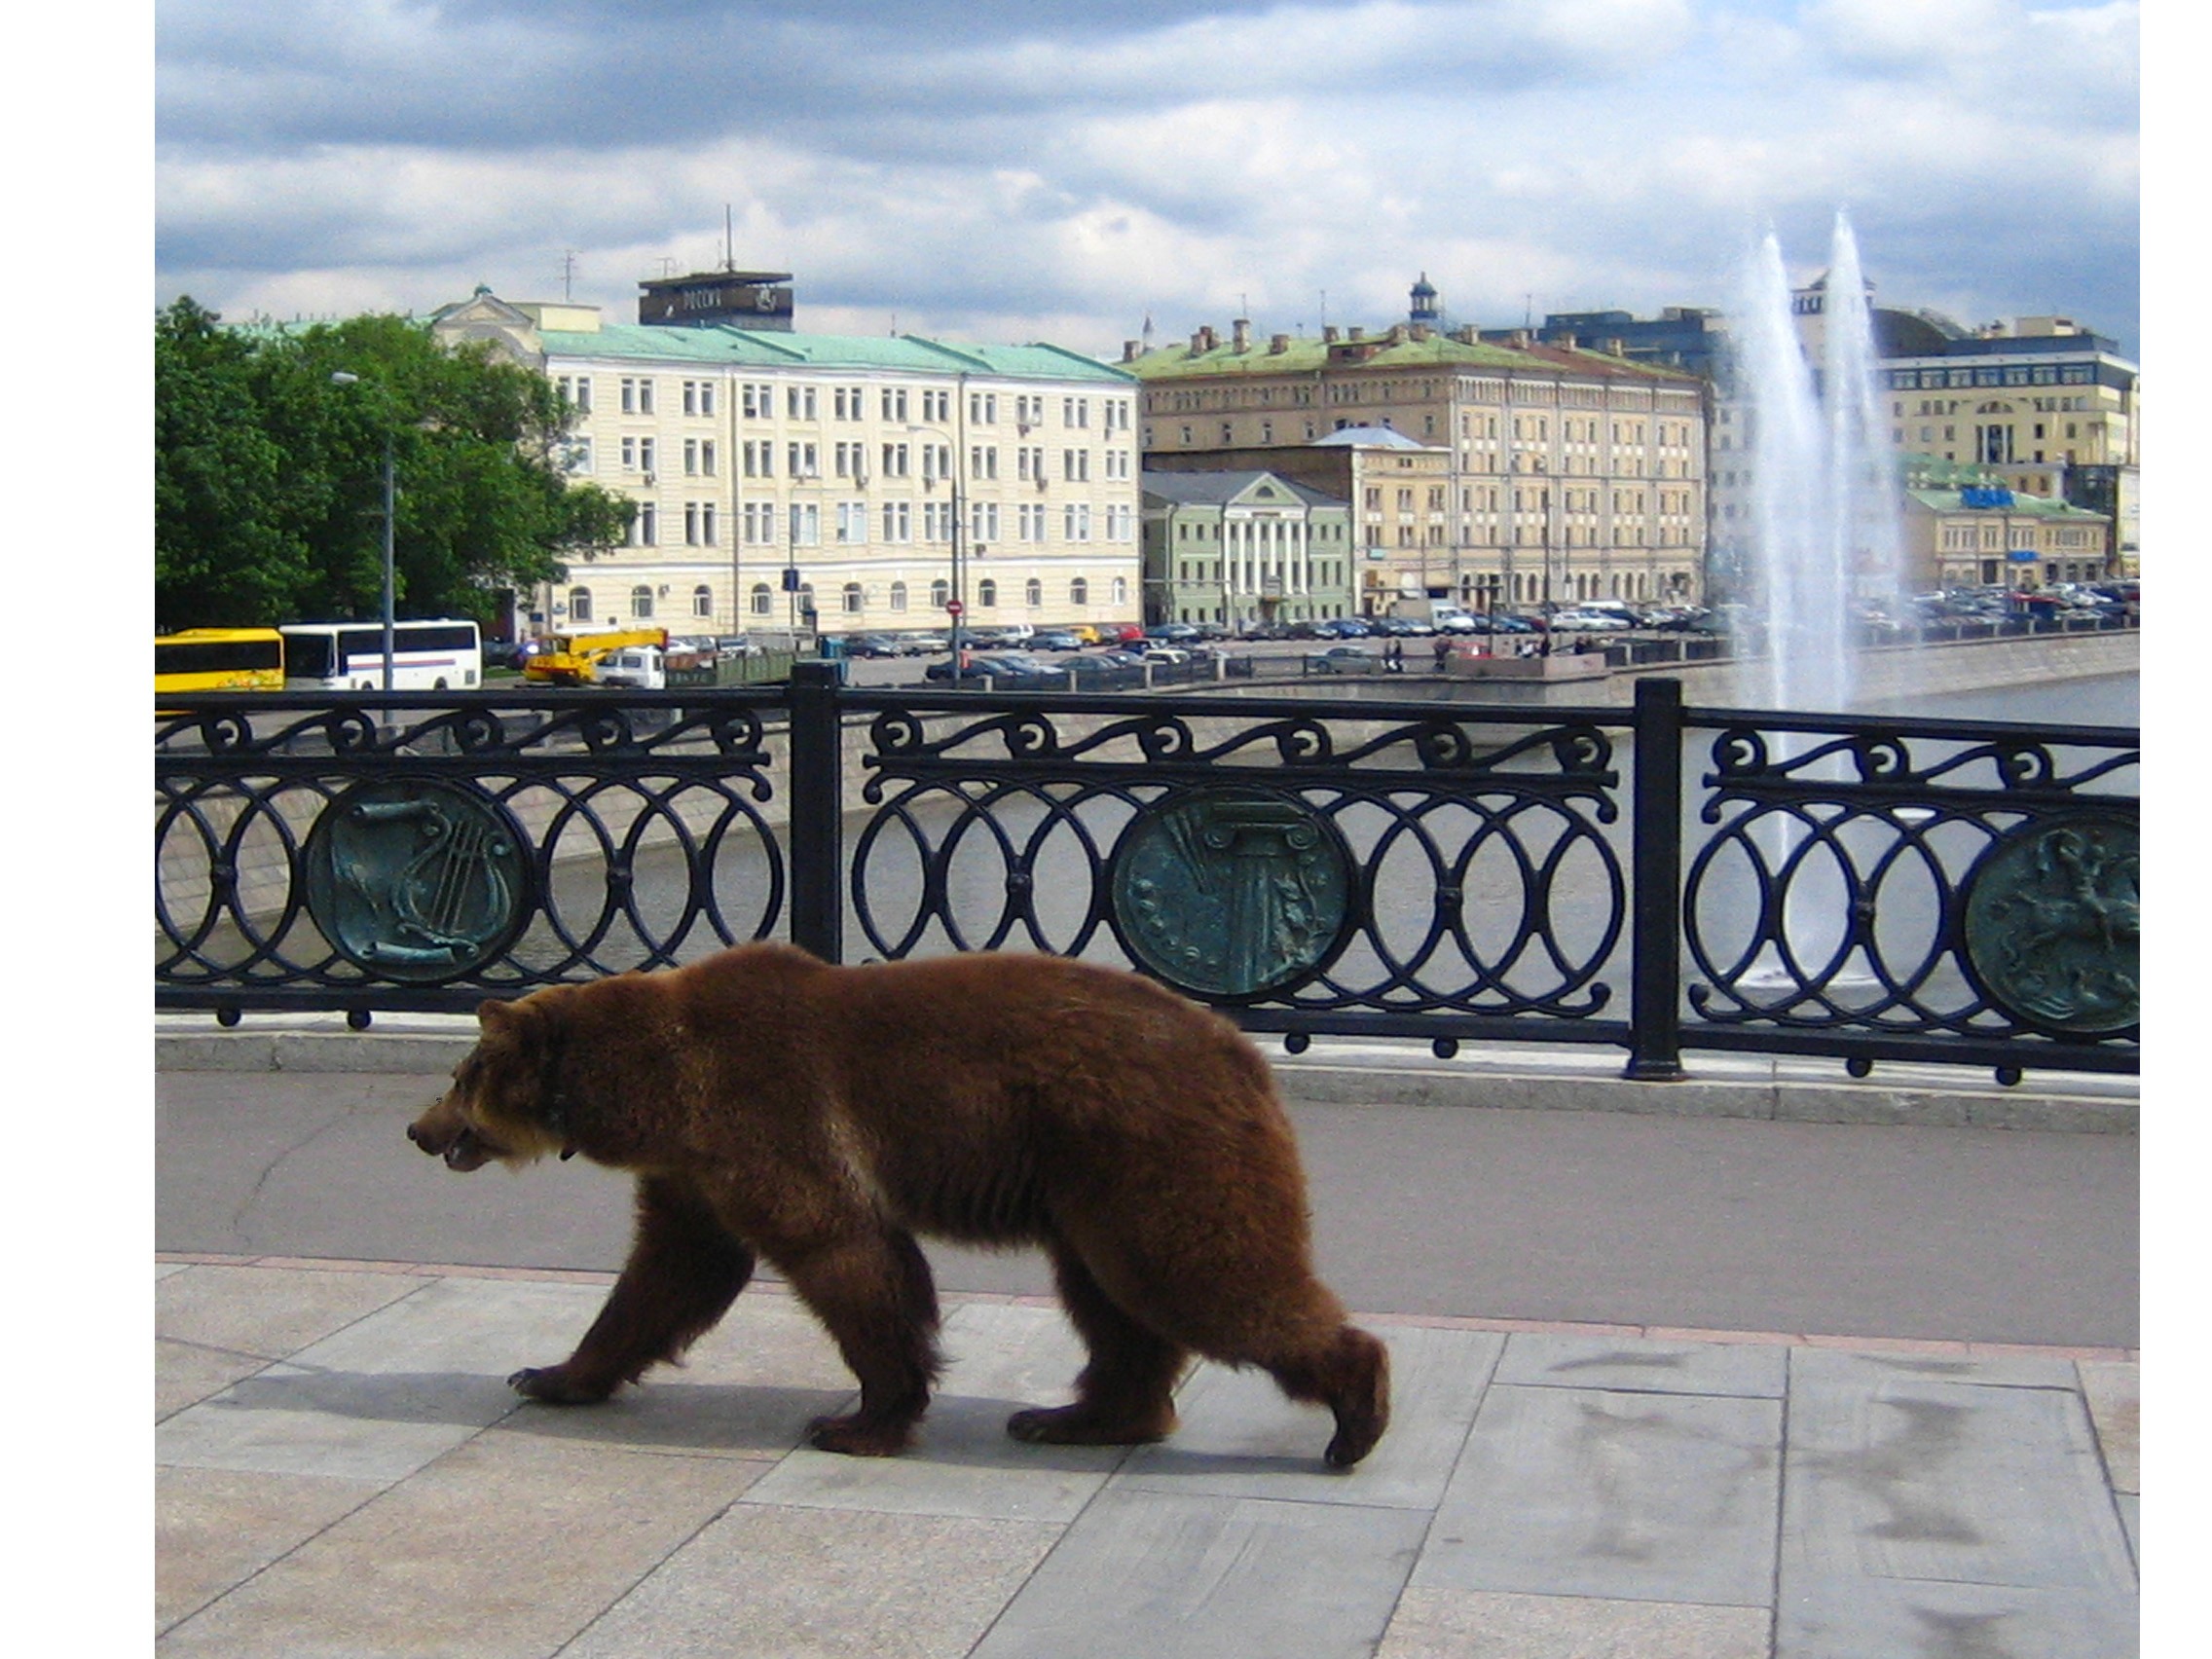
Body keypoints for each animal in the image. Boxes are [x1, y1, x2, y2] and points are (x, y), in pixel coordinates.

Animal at [407, 941, 1388, 1477]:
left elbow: (847, 1257)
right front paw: (551, 1374)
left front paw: (857, 1419)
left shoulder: (765, 1113)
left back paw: (1357, 1412)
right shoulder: (694, 1172)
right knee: (1115, 1306)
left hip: (1148, 1150)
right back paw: (1077, 1417)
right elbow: (668, 1274)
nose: (419, 1130)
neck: (648, 1088)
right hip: (1093, 1189)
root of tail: (1241, 1050)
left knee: (1201, 1276)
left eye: (460, 1074)